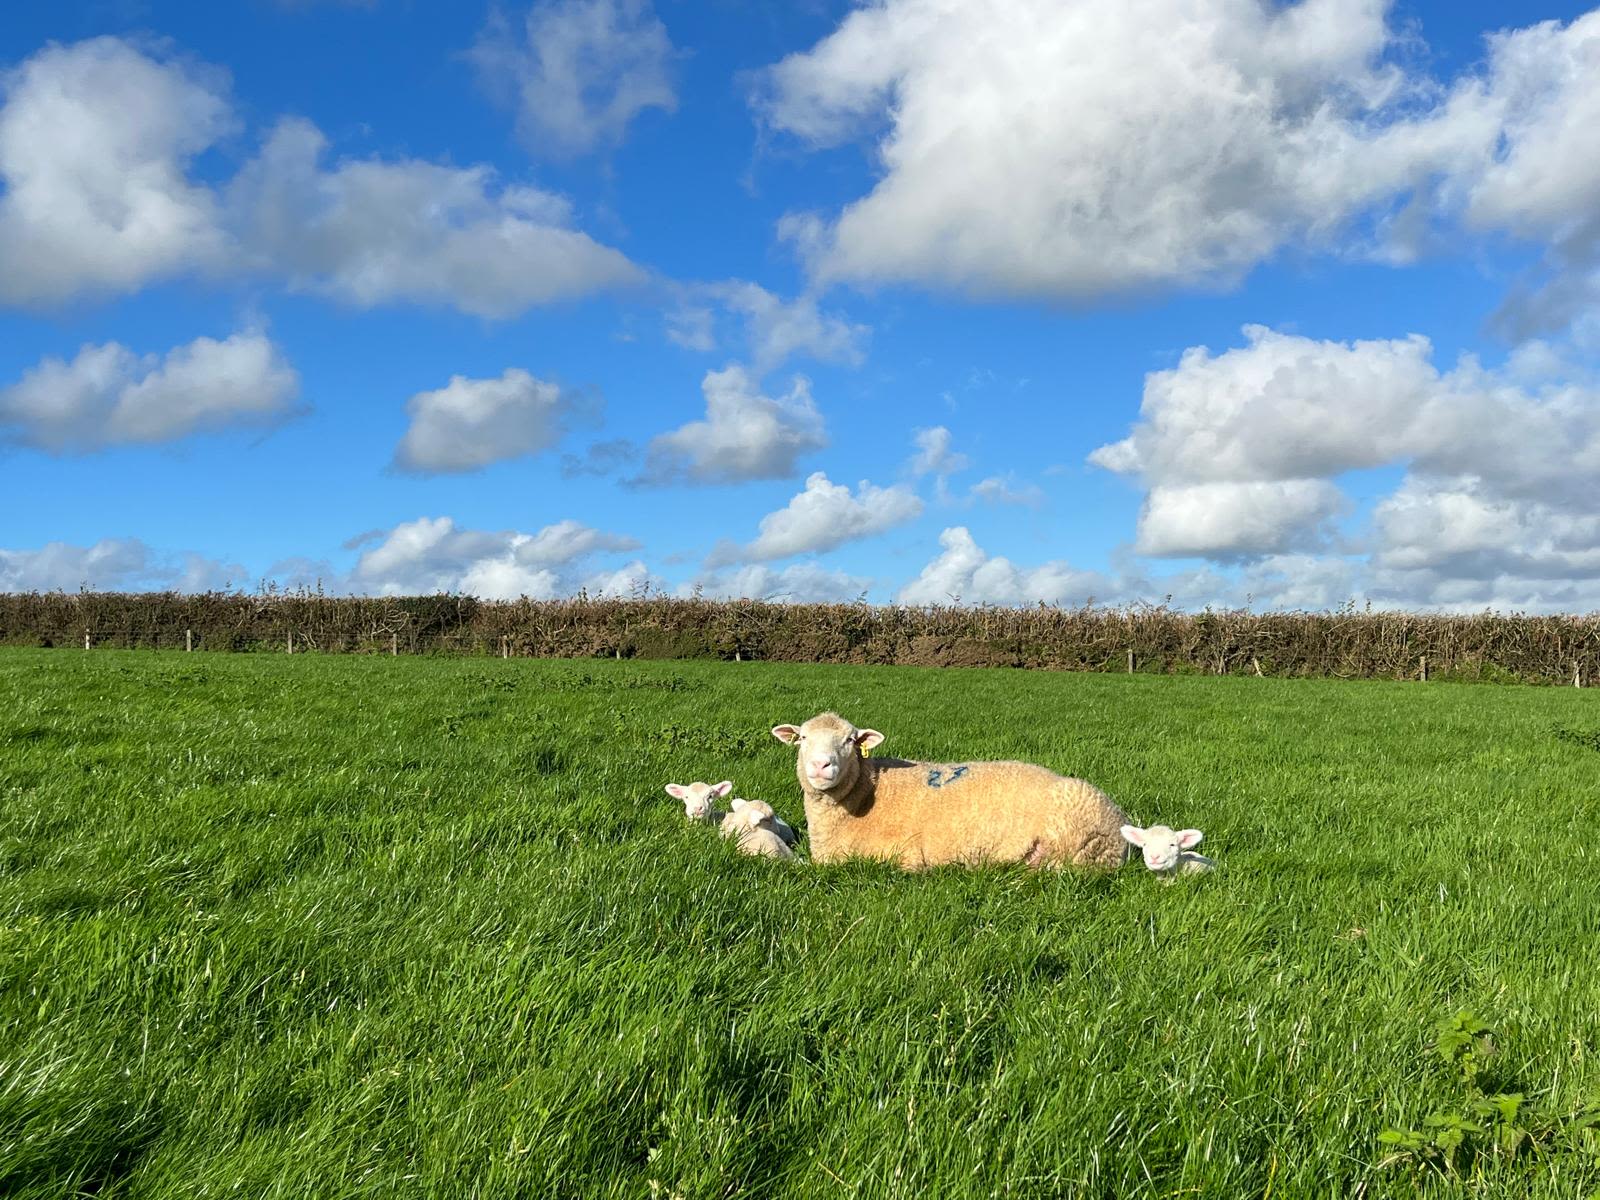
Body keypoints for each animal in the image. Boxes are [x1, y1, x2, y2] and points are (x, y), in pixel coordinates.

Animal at [770, 711, 1128, 870]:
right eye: (803, 738)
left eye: (849, 740)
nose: (821, 765)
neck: (866, 793)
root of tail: (1119, 819)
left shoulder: (904, 854)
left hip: (1073, 850)